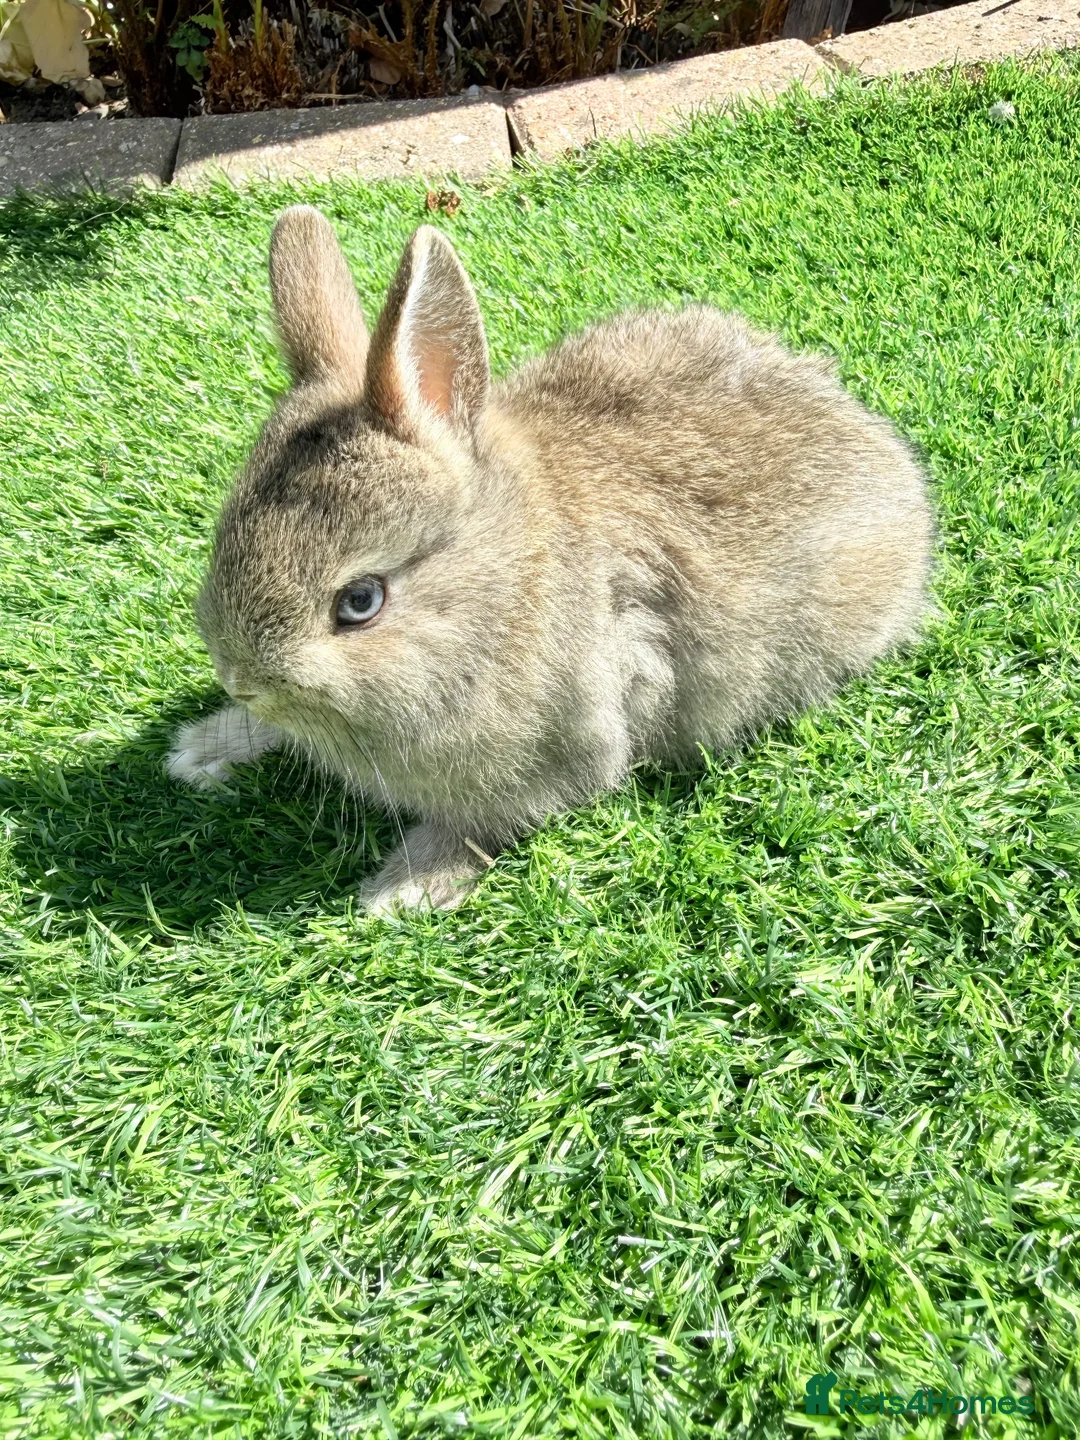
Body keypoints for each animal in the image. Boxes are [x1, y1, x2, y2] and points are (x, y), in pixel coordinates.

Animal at [166, 205, 933, 915]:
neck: (500, 584)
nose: (240, 681)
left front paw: (402, 890)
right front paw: (202, 749)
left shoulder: (558, 750)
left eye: (360, 602)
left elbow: (481, 825)